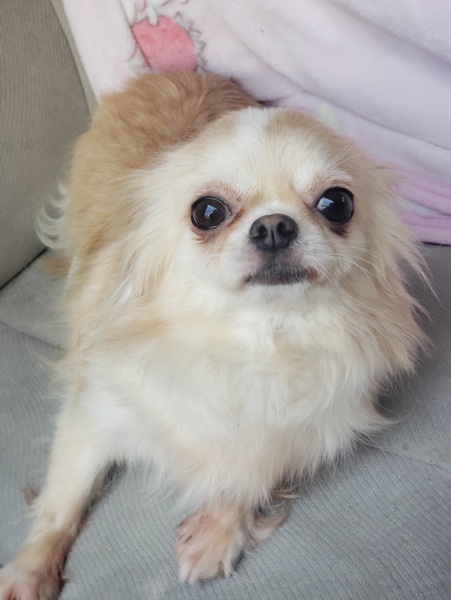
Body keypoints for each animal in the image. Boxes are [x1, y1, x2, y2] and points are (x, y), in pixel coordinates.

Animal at [0, 72, 425, 599]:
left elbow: (251, 471)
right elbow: (63, 498)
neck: (259, 343)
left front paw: (217, 531)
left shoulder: (298, 433)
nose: (273, 225)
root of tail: (168, 74)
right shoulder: (92, 415)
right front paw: (30, 568)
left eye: (336, 203)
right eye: (207, 212)